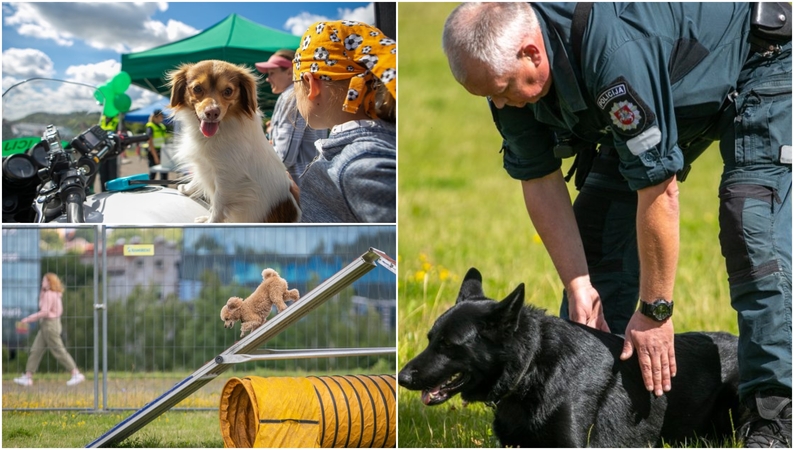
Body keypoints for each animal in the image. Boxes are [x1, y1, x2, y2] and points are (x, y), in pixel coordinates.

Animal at [167, 59, 300, 221]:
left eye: (228, 91)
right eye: (197, 88)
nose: (212, 112)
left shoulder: (227, 179)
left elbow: (218, 205)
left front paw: (210, 221)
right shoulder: (205, 165)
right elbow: (198, 179)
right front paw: (186, 189)